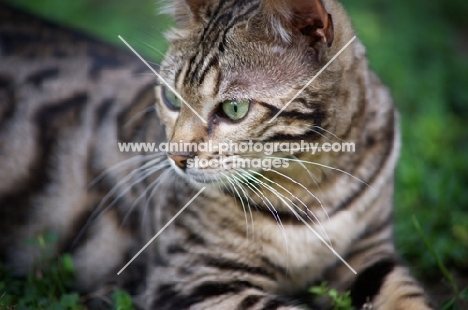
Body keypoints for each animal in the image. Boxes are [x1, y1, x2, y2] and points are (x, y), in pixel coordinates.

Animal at [0, 0, 434, 310]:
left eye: (234, 109)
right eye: (171, 99)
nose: (176, 158)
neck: (312, 188)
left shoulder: (369, 251)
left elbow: (405, 295)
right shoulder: (198, 280)